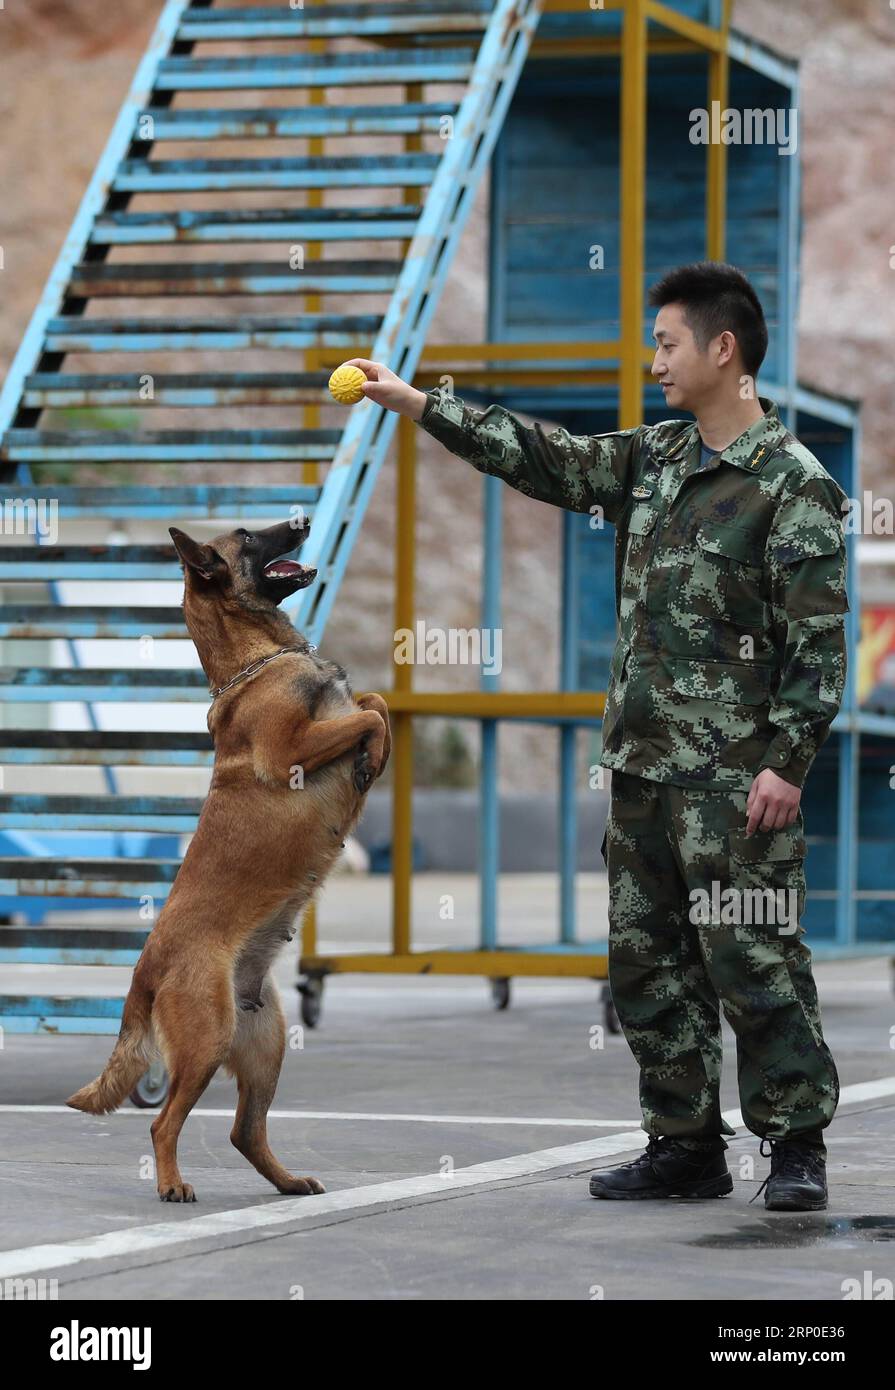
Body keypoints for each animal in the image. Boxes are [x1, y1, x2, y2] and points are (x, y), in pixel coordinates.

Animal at [68, 517, 389, 1200]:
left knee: (245, 1131)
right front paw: (369, 758)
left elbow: (373, 702)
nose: (299, 519)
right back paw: (172, 1185)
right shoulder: (291, 749)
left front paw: (373, 757)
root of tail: (145, 971)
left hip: (266, 1044)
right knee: (163, 1122)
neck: (256, 661)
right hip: (208, 1041)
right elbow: (369, 717)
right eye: (246, 535)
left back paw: (289, 1182)